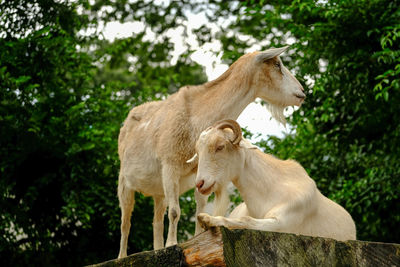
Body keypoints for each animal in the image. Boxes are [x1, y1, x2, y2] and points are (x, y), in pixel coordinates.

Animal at [117, 46, 304, 260]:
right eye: (277, 64)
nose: (302, 92)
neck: (196, 114)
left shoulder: (200, 169)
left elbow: (199, 205)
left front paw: (198, 237)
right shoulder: (170, 162)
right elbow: (175, 211)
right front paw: (172, 244)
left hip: (158, 191)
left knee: (156, 220)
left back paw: (157, 249)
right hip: (124, 182)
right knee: (125, 221)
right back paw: (122, 256)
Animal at [192, 120, 358, 242]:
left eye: (220, 147)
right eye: (198, 152)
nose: (200, 184)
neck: (269, 192)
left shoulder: (282, 224)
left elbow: (247, 220)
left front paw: (207, 219)